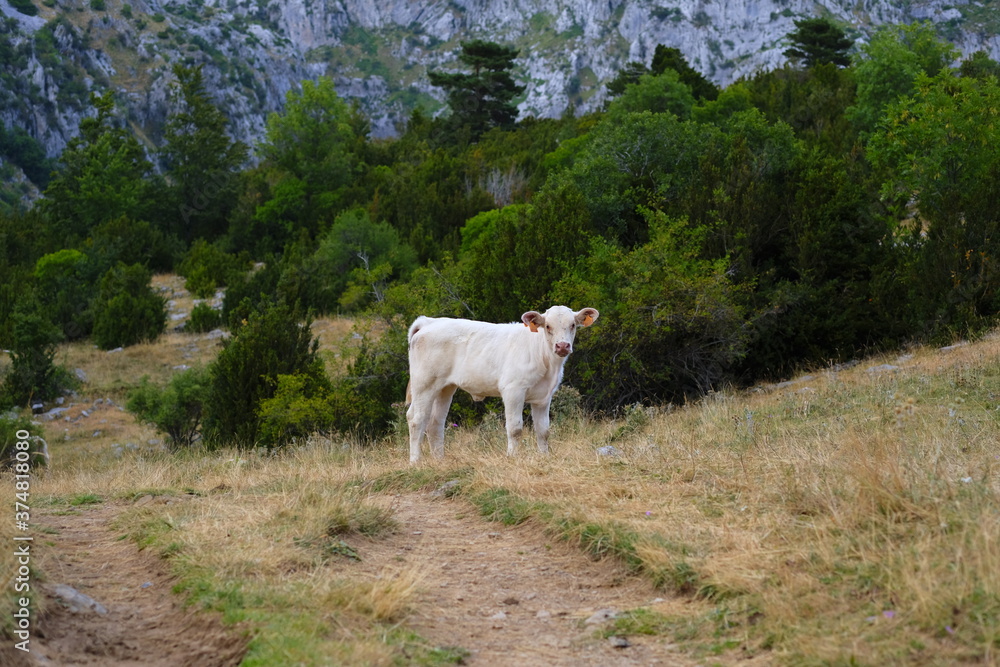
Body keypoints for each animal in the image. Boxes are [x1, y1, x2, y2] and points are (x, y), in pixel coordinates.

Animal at [405, 306, 599, 463]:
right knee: (416, 419)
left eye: (572, 325)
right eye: (548, 326)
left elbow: (543, 430)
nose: (562, 346)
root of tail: (430, 322)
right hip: (424, 384)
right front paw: (512, 457)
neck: (546, 362)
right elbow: (515, 428)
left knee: (435, 423)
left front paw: (544, 457)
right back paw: (415, 461)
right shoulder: (513, 390)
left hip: (445, 388)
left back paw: (439, 460)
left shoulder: (544, 397)